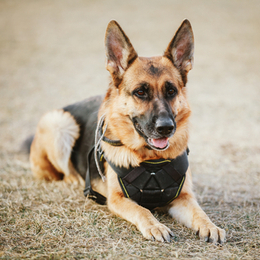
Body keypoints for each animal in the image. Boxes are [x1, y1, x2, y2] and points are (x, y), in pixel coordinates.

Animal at [28, 19, 225, 244]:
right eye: (140, 92)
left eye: (171, 91)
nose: (166, 127)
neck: (152, 161)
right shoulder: (117, 199)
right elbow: (142, 210)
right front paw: (156, 226)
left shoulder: (183, 197)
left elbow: (199, 212)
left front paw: (210, 226)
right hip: (59, 122)